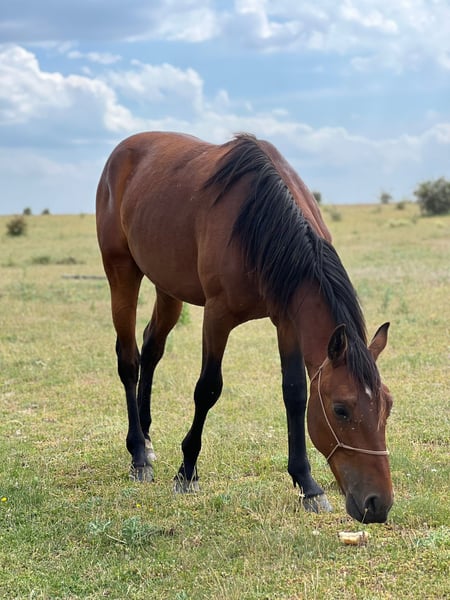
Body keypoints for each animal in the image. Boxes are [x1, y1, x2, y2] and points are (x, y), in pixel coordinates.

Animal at [96, 131, 394, 523]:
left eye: (388, 406)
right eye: (341, 409)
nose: (378, 504)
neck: (260, 224)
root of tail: (122, 150)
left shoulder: (287, 320)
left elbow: (295, 394)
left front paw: (307, 484)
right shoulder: (217, 316)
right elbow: (207, 389)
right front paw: (187, 470)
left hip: (168, 287)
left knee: (151, 348)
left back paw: (146, 437)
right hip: (122, 272)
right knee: (129, 359)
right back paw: (138, 454)